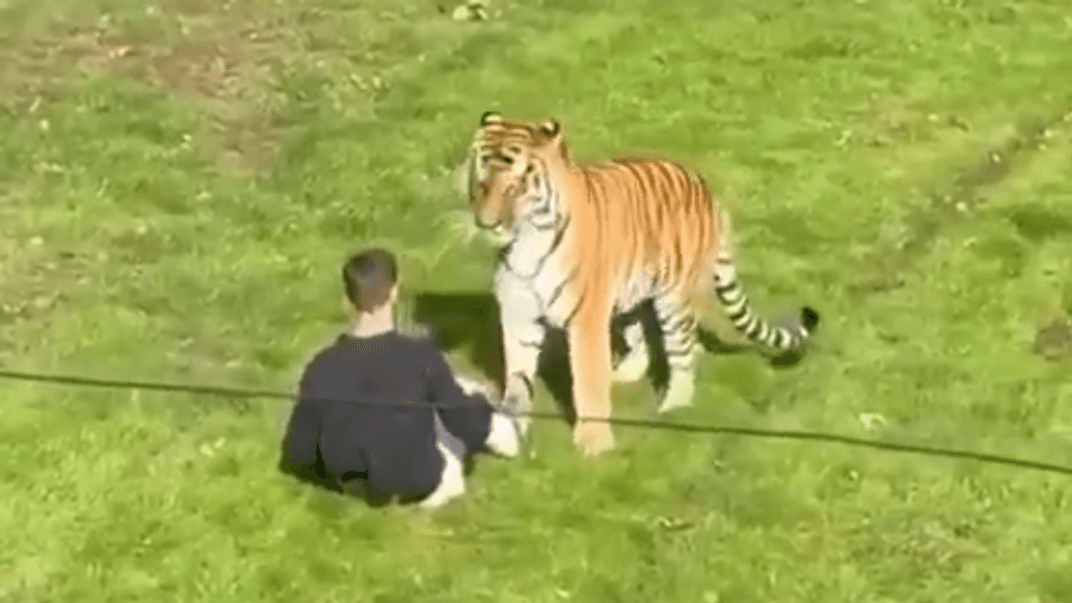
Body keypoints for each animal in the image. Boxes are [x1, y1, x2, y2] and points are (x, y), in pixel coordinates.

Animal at [462, 111, 820, 456]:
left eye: (516, 185)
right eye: (480, 182)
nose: (486, 223)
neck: (526, 242)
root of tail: (705, 189)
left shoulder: (586, 319)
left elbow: (587, 381)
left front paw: (594, 445)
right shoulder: (518, 314)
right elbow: (516, 376)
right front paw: (510, 430)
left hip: (674, 299)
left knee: (683, 351)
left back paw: (674, 405)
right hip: (633, 290)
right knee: (642, 335)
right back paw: (623, 375)